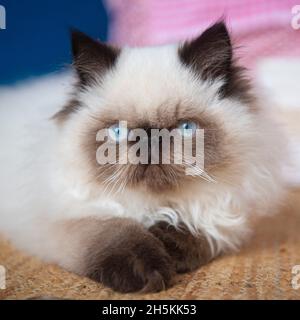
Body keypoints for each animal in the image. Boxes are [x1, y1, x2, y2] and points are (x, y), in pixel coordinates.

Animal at [0, 21, 284, 292]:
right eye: (118, 131)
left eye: (186, 127)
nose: (149, 138)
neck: (153, 205)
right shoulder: (70, 217)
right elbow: (116, 237)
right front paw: (150, 272)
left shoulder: (223, 212)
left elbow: (199, 229)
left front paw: (169, 246)